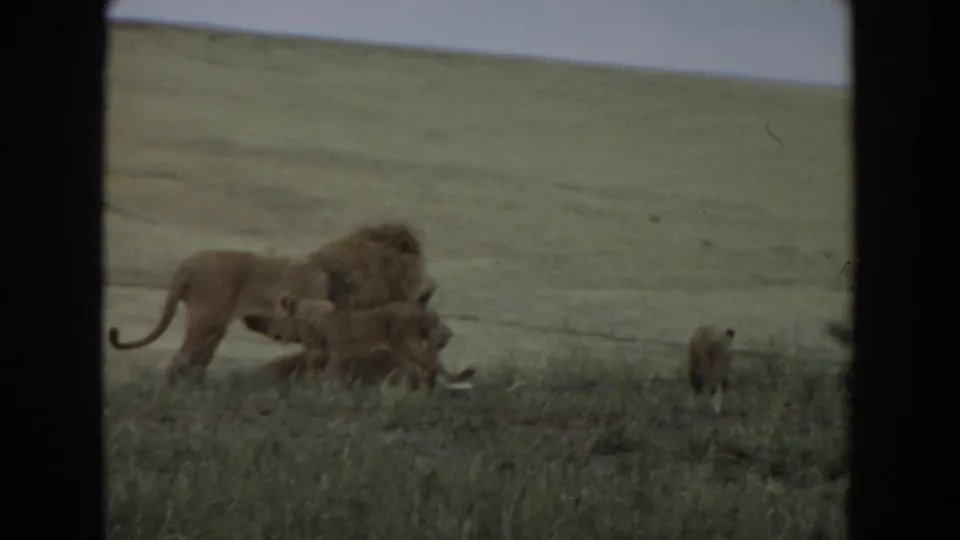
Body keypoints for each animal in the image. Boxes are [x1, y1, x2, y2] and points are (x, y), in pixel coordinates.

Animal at [107, 222, 431, 385]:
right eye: (417, 255)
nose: (428, 289)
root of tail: (188, 264)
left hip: (213, 329)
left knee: (193, 365)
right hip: (207, 322)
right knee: (180, 363)